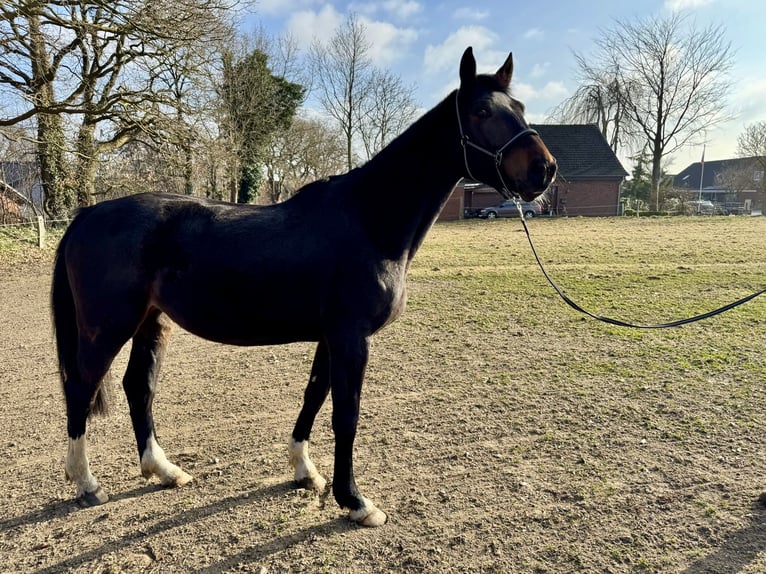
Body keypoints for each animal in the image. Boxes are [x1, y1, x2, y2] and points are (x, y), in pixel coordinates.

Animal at [51, 47, 556, 527]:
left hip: (151, 322)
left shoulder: (330, 338)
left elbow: (314, 396)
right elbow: (346, 415)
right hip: (106, 328)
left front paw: (305, 471)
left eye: (519, 107)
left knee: (139, 387)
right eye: (482, 112)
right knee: (80, 387)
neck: (369, 220)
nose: (544, 169)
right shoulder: (351, 338)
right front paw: (355, 502)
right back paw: (87, 483)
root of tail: (87, 215)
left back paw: (164, 470)